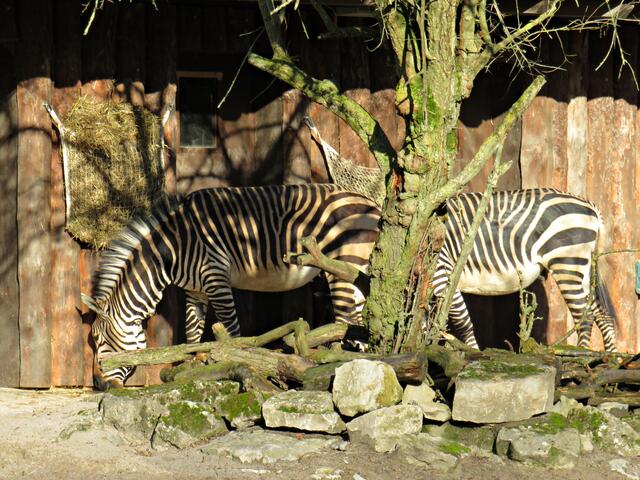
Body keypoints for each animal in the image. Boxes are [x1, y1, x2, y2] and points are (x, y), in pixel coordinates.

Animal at [82, 184, 380, 389]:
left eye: (98, 340)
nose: (98, 385)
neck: (170, 252)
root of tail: (371, 203)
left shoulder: (216, 277)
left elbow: (231, 330)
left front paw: (236, 364)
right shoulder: (196, 289)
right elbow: (192, 331)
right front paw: (190, 367)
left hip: (343, 265)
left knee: (345, 321)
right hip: (357, 273)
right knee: (358, 323)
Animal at [433, 188, 616, 351]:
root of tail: (589, 205)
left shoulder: (442, 272)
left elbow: (461, 322)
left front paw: (472, 353)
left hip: (567, 263)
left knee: (585, 318)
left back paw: (581, 354)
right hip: (584, 267)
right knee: (603, 315)